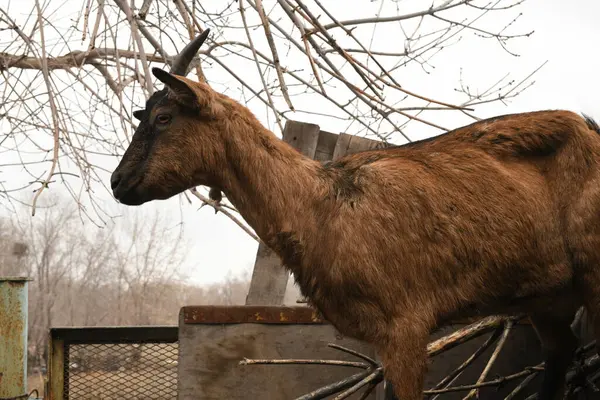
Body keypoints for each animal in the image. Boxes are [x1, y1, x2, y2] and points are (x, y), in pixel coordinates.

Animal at [111, 29, 600, 398]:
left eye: (164, 118)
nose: (118, 182)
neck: (321, 204)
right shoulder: (387, 340)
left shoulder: (407, 327)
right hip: (546, 297)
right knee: (562, 351)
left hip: (593, 273)